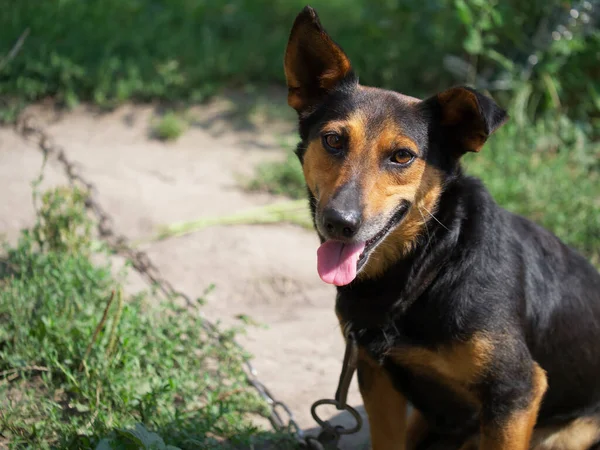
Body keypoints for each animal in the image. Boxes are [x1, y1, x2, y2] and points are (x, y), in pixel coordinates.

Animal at [284, 6, 600, 450]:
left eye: (402, 156)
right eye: (332, 140)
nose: (338, 223)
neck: (430, 265)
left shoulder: (515, 390)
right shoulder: (377, 375)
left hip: (565, 435)